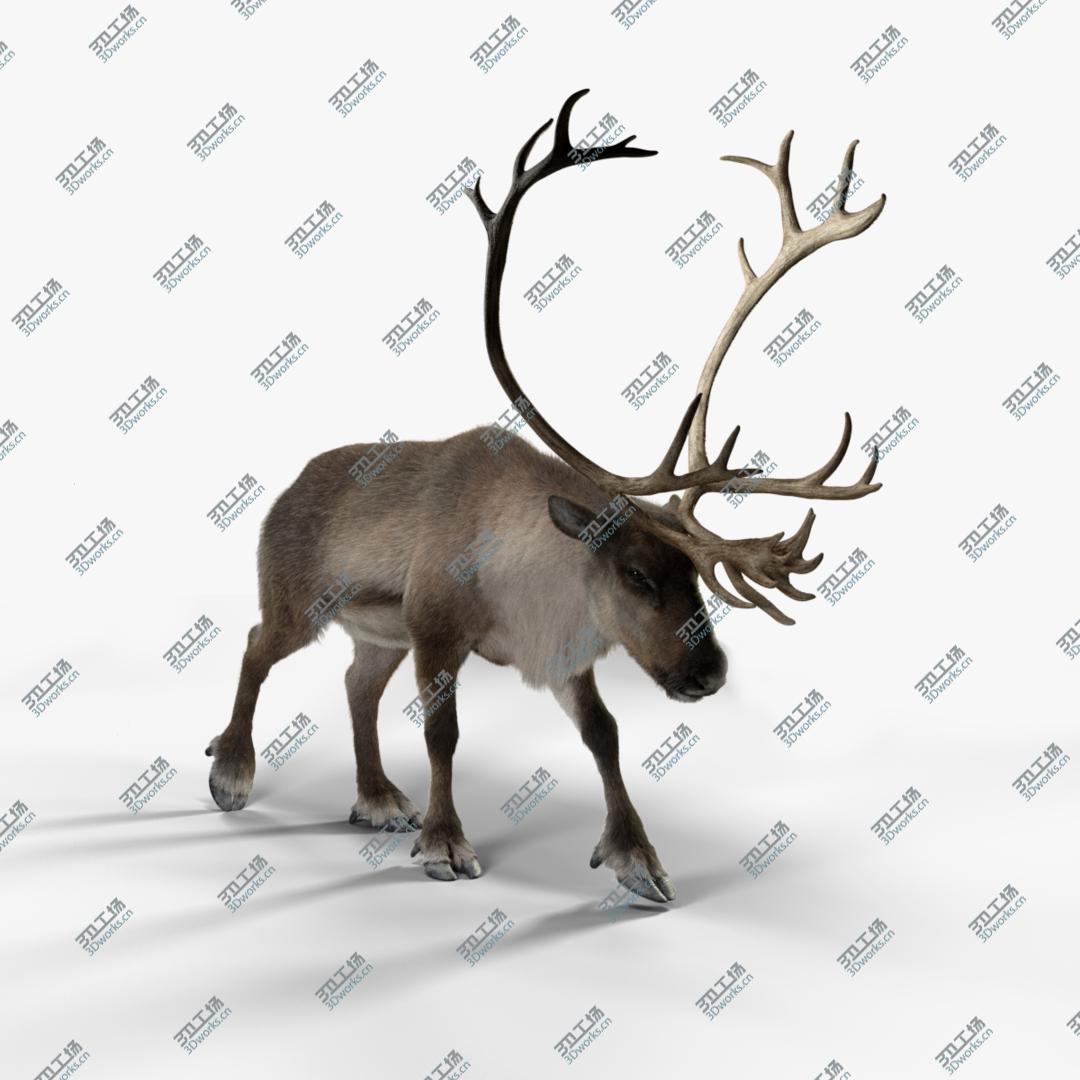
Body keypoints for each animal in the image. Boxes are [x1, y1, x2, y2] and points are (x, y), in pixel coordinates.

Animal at [205, 88, 885, 902]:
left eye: (696, 575)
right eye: (635, 573)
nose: (710, 673)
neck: (528, 568)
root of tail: (287, 488)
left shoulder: (562, 651)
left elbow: (604, 734)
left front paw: (637, 858)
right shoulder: (436, 627)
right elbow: (443, 733)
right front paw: (446, 843)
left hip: (377, 631)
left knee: (355, 684)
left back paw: (377, 798)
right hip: (300, 599)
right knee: (256, 645)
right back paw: (232, 772)